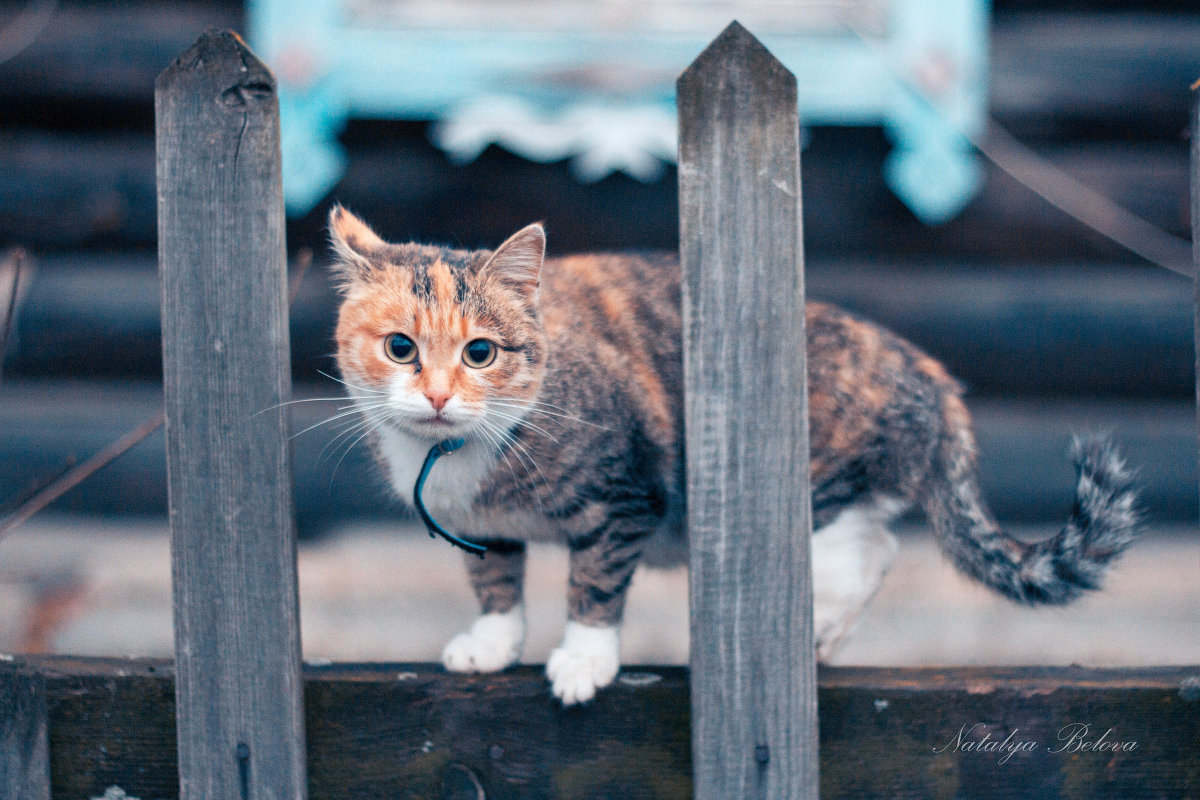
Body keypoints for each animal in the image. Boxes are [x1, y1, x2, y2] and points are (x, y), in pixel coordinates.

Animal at [331, 208, 1142, 705]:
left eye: (481, 352)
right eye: (400, 347)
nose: (439, 396)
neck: (455, 457)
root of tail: (930, 375)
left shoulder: (629, 491)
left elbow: (595, 579)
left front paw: (585, 658)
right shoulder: (483, 524)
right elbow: (493, 576)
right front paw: (493, 642)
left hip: (817, 479)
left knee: (864, 550)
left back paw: (815, 630)